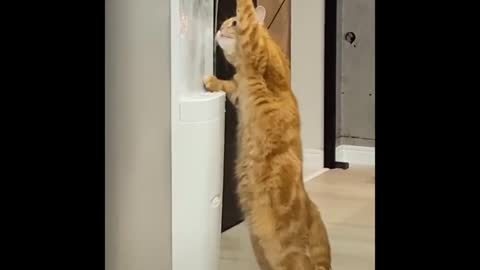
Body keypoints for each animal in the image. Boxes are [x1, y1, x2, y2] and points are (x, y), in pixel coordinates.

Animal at [204, 1, 332, 268]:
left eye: (233, 22)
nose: (218, 29)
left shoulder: (255, 47)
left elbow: (247, 11)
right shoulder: (239, 93)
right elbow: (228, 85)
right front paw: (213, 82)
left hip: (279, 251)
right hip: (261, 248)